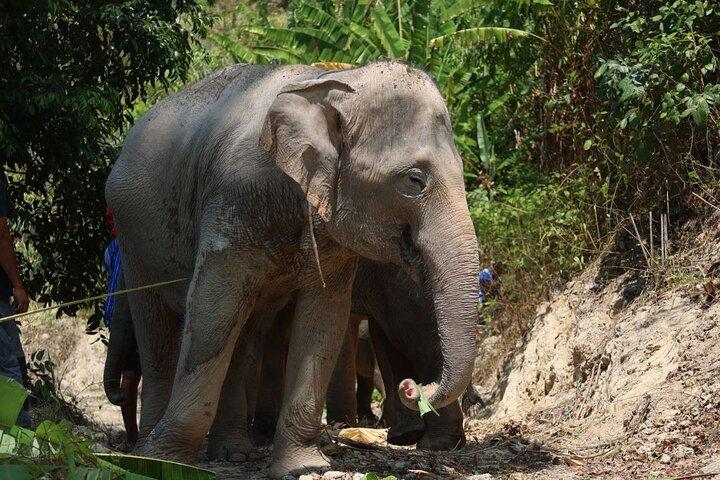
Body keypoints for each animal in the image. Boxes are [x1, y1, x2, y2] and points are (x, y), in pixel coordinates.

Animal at [104, 61, 479, 478]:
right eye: (414, 180)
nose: (413, 388)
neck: (327, 84)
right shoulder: (234, 198)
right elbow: (213, 306)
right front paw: (168, 458)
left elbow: (323, 318)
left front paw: (303, 466)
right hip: (135, 238)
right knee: (159, 331)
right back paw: (155, 454)